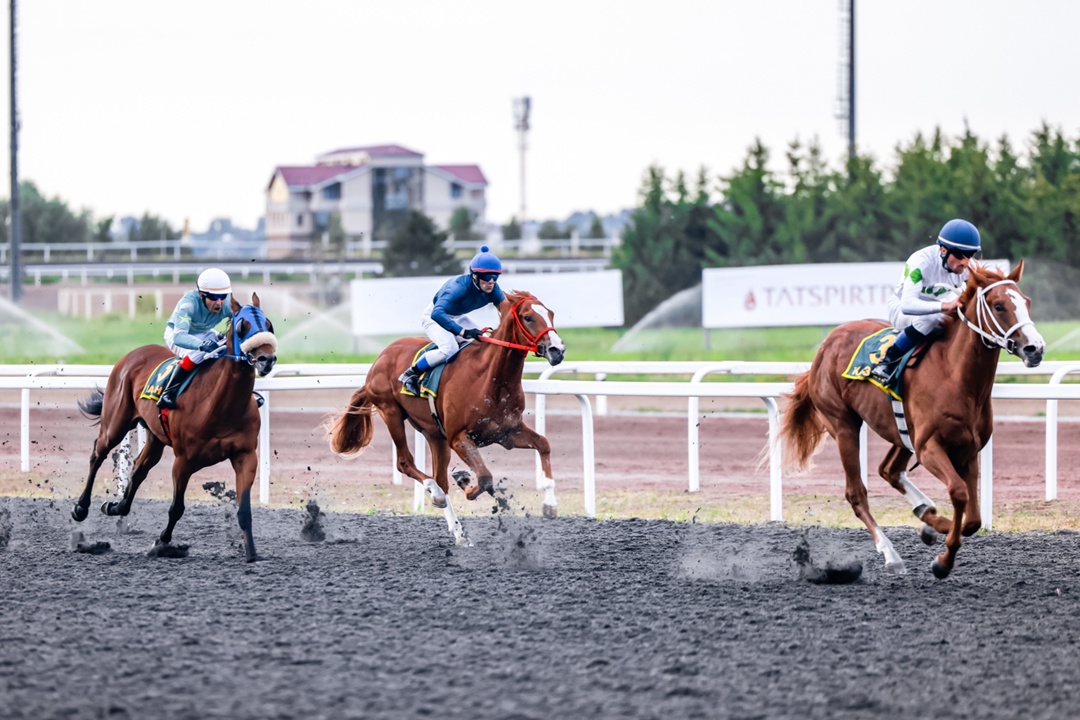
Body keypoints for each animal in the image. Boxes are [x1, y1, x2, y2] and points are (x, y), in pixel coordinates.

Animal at [72, 293, 278, 561]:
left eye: (269, 325)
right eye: (243, 326)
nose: (266, 359)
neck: (221, 406)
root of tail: (133, 354)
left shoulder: (245, 457)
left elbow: (244, 510)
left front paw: (252, 553)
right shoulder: (184, 460)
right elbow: (176, 508)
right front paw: (161, 542)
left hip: (155, 437)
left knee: (139, 468)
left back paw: (116, 506)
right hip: (115, 423)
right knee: (98, 453)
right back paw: (81, 507)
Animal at [326, 289, 565, 544]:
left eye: (551, 314)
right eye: (528, 317)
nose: (557, 350)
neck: (489, 379)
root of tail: (381, 357)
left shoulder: (507, 433)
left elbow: (544, 444)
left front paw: (550, 504)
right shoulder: (459, 438)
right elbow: (484, 477)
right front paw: (465, 482)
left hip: (435, 435)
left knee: (440, 477)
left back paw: (459, 533)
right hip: (391, 412)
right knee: (407, 464)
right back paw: (437, 494)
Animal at [777, 262, 1045, 578]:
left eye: (1027, 302)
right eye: (999, 305)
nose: (1035, 349)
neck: (955, 375)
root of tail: (826, 345)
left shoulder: (967, 449)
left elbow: (973, 520)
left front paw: (935, 529)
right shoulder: (929, 447)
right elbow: (959, 493)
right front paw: (943, 561)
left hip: (900, 430)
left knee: (889, 470)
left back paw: (926, 514)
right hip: (843, 426)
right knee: (856, 493)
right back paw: (891, 554)